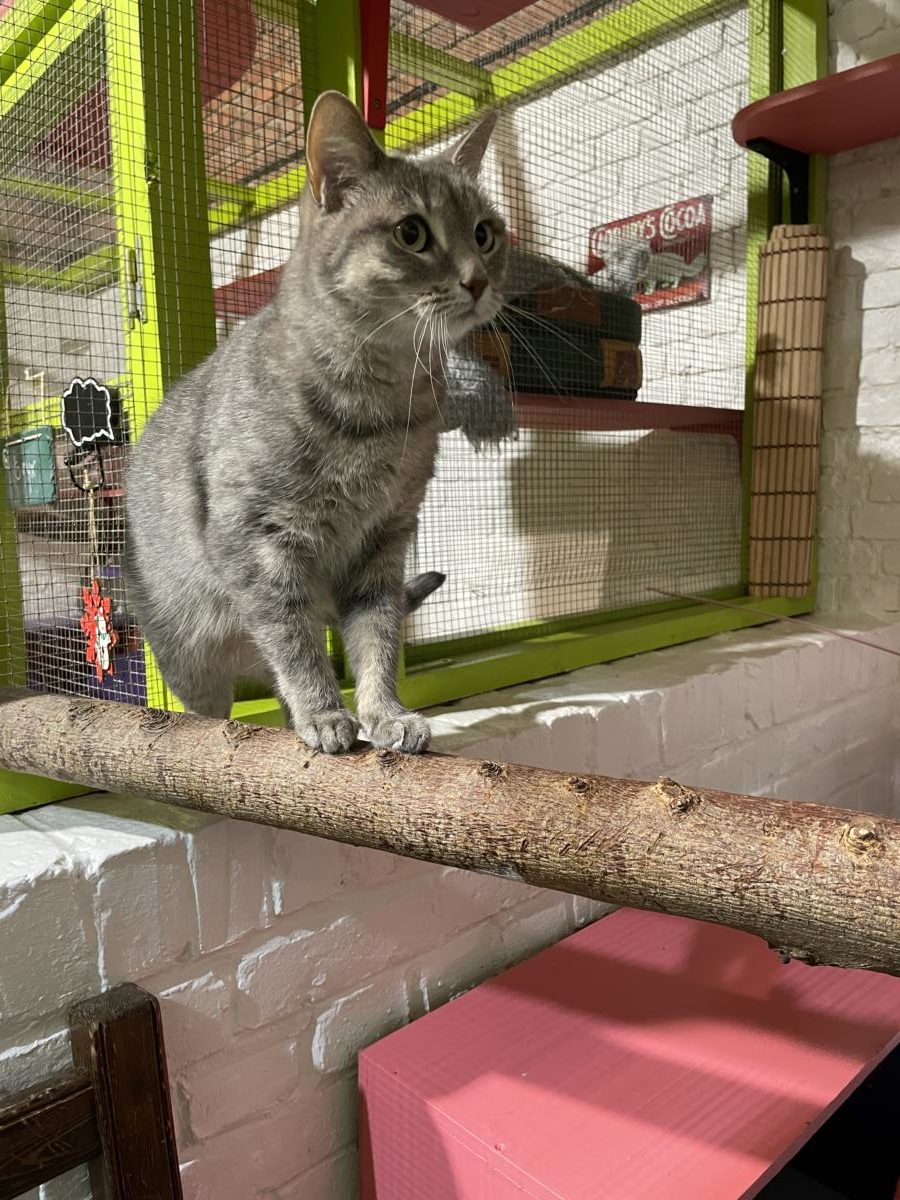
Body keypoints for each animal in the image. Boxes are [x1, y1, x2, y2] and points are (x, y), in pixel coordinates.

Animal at [125, 90, 507, 754]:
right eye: (412, 233)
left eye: (485, 234)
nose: (479, 279)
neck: (383, 406)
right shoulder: (259, 544)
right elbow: (294, 643)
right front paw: (326, 712)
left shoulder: (384, 542)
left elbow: (377, 641)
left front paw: (385, 712)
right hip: (185, 651)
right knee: (215, 696)